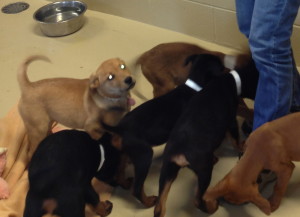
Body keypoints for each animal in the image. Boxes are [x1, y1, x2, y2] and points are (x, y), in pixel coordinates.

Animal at [102, 53, 226, 207]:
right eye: (220, 66)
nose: (227, 69)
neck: (193, 87)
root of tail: (120, 128)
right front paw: (213, 158)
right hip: (144, 155)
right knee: (137, 189)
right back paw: (149, 201)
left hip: (125, 152)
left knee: (120, 172)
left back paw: (125, 183)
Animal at [154, 57, 258, 217]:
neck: (231, 80)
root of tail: (179, 152)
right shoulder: (231, 121)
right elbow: (235, 139)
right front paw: (242, 146)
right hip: (204, 171)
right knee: (198, 199)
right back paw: (212, 207)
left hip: (167, 170)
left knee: (159, 206)